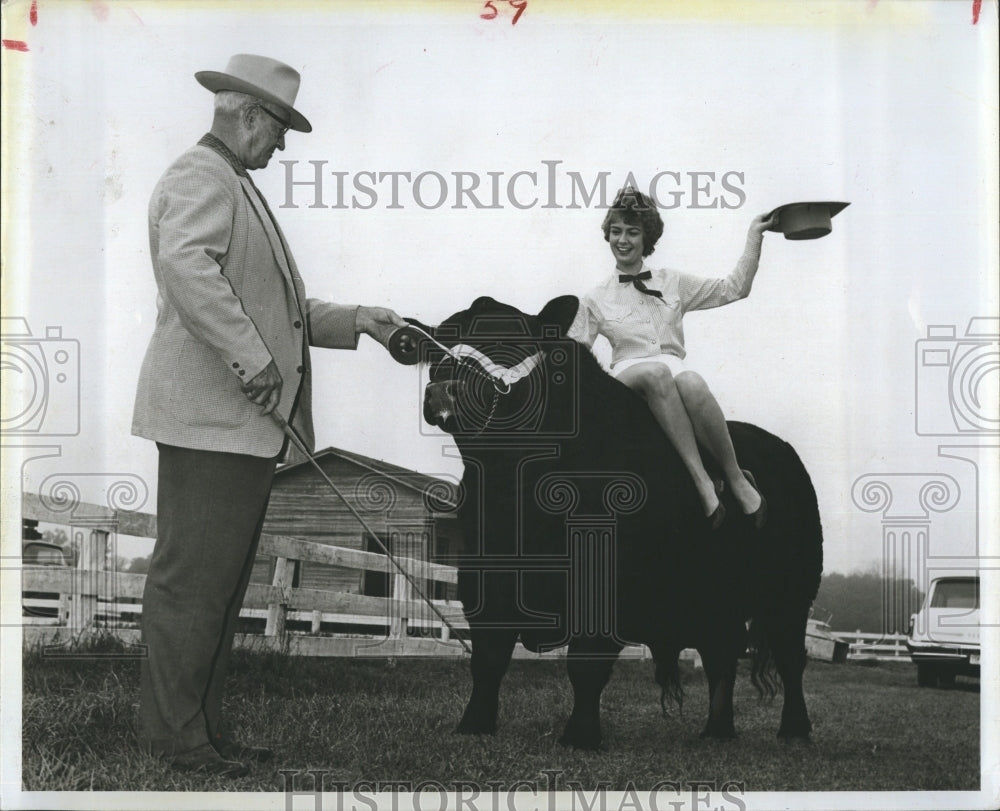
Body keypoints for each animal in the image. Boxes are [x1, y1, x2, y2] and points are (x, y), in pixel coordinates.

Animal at [412, 294, 820, 752]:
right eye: (435, 349)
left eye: (508, 340)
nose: (442, 390)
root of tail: (780, 448)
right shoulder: (485, 576)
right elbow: (488, 657)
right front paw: (474, 723)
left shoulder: (602, 583)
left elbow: (586, 664)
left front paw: (580, 735)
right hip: (718, 598)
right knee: (722, 655)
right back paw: (717, 729)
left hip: (793, 593)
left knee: (790, 657)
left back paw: (794, 728)